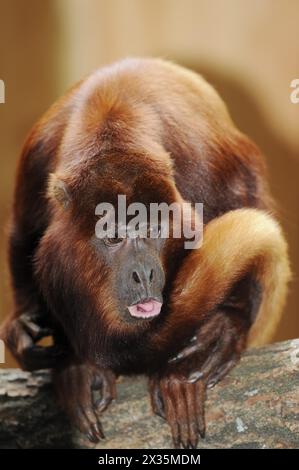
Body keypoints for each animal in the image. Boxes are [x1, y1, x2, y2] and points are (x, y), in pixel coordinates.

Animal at [0, 58, 290, 448]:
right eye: (112, 237)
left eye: (152, 229)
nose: (144, 274)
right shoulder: (37, 162)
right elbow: (24, 236)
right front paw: (63, 356)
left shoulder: (204, 159)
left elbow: (246, 205)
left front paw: (220, 329)